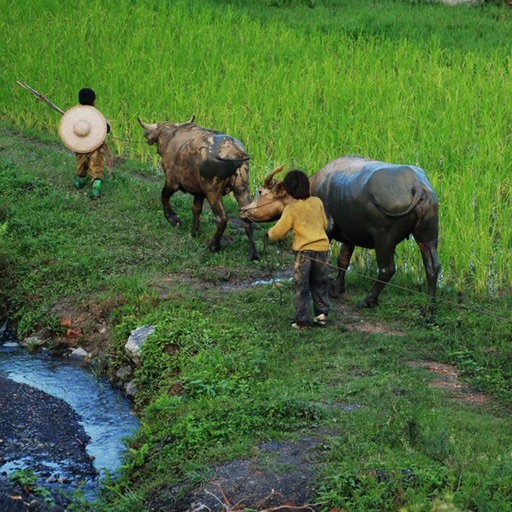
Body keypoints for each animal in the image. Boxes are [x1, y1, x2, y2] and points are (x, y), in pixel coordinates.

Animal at [139, 115, 258, 260]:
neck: (170, 137)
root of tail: (236, 153)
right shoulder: (199, 192)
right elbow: (196, 209)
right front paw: (194, 232)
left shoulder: (172, 183)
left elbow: (164, 196)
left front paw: (174, 219)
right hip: (242, 189)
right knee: (247, 219)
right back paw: (253, 253)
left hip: (213, 192)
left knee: (222, 218)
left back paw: (213, 246)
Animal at [240, 156, 440, 308]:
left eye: (260, 191)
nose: (243, 210)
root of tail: (417, 185)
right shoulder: (348, 236)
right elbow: (343, 260)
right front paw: (337, 288)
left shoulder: (326, 230)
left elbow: (325, 260)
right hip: (428, 235)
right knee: (432, 266)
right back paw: (429, 309)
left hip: (384, 237)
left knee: (387, 269)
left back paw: (368, 300)